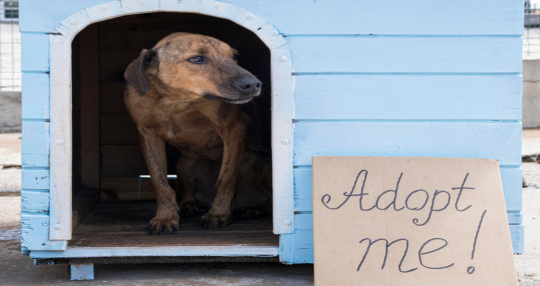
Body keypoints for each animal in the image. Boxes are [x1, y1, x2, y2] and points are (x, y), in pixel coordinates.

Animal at [124, 33, 272, 235]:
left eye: (234, 57)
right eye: (197, 59)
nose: (255, 84)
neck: (174, 102)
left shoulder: (235, 129)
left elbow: (225, 180)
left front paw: (218, 215)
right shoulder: (148, 136)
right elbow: (160, 183)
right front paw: (166, 217)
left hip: (248, 162)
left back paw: (253, 209)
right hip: (184, 163)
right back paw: (188, 206)